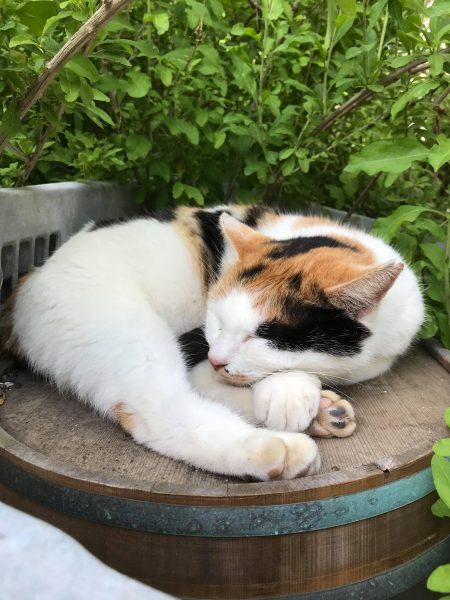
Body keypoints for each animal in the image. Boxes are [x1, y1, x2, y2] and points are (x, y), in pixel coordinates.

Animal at [0, 205, 424, 480]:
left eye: (265, 334)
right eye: (216, 320)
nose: (217, 356)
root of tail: (29, 278)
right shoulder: (197, 348)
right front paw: (289, 394)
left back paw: (323, 414)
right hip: (125, 328)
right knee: (163, 414)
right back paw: (277, 448)